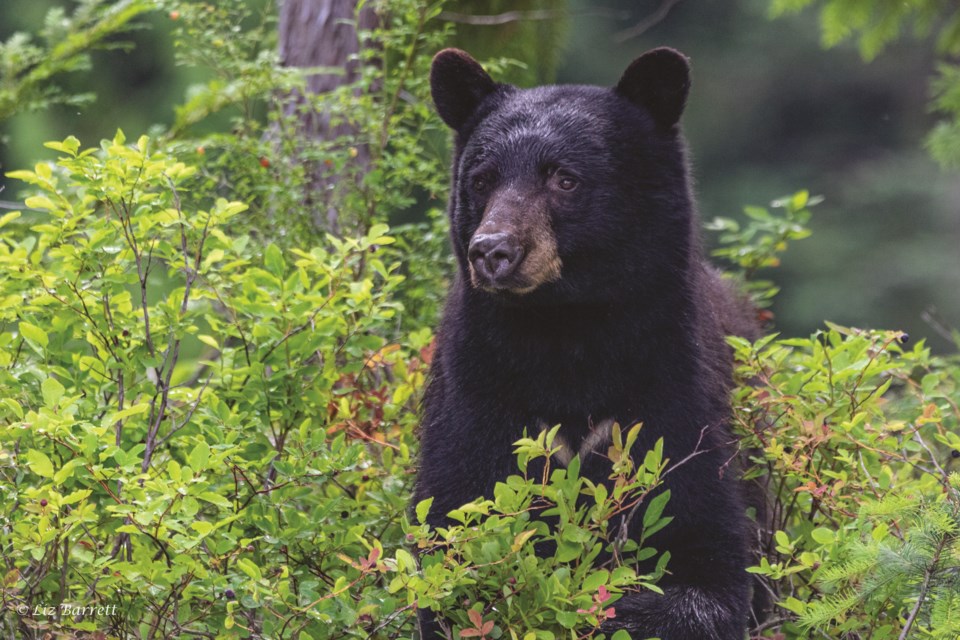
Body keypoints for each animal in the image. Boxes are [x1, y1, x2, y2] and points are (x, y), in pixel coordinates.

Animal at [416, 48, 760, 640]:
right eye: (481, 180)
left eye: (565, 179)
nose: (493, 251)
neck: (567, 332)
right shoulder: (475, 391)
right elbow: (452, 530)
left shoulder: (673, 388)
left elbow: (709, 562)